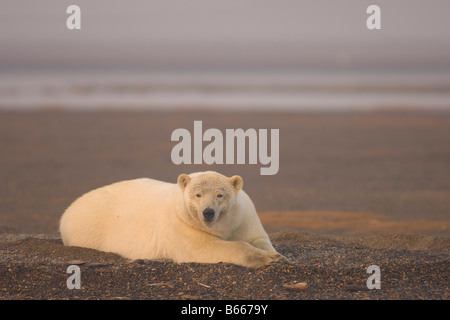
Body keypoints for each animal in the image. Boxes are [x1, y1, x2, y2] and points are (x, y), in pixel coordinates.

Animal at [59, 171, 286, 268]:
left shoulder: (243, 216)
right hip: (87, 231)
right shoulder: (183, 224)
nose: (208, 212)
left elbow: (257, 238)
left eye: (220, 194)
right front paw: (266, 258)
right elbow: (207, 248)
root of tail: (67, 212)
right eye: (197, 195)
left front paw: (276, 255)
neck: (221, 224)